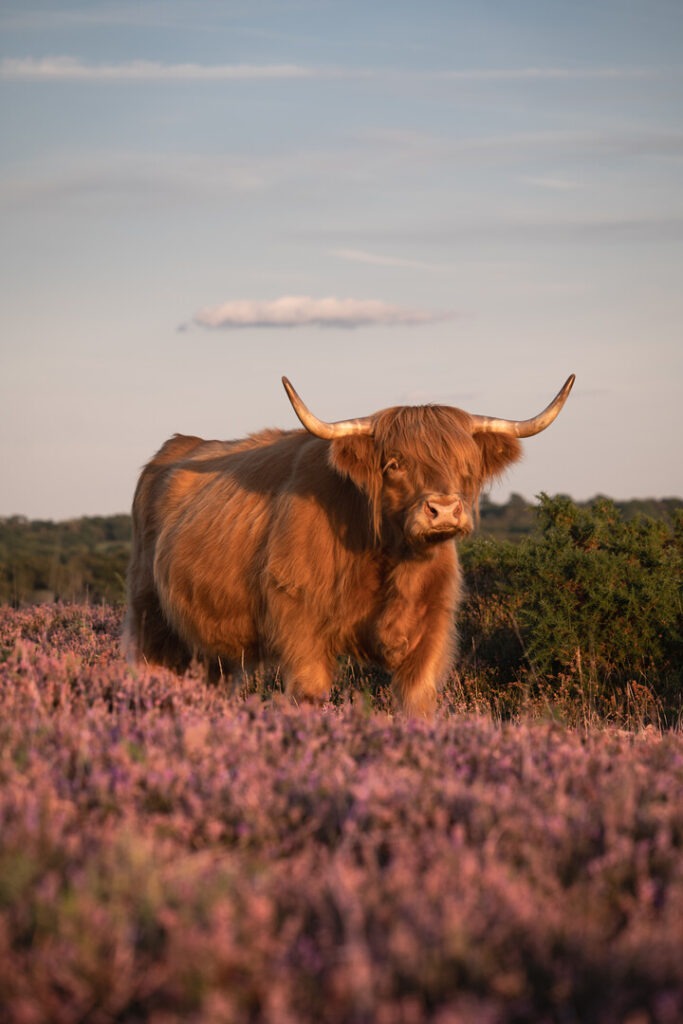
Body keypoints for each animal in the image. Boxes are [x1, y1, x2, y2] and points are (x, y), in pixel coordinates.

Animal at [123, 374, 574, 715]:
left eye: (466, 465)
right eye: (394, 464)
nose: (444, 510)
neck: (393, 557)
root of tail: (174, 448)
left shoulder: (430, 631)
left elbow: (417, 701)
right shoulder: (301, 628)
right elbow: (309, 696)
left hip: (211, 650)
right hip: (150, 620)